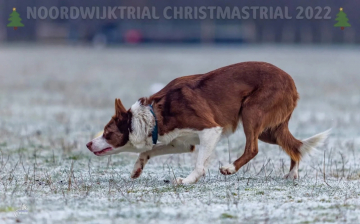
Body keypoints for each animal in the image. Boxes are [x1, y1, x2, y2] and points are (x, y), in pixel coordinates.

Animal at [86, 61, 330, 184]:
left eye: (107, 133)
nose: (88, 144)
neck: (155, 116)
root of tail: (292, 82)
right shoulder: (182, 143)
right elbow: (149, 151)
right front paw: (137, 168)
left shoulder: (210, 130)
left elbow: (199, 164)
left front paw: (187, 180)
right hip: (269, 129)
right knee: (294, 146)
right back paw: (292, 174)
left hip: (251, 112)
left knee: (253, 148)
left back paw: (230, 168)